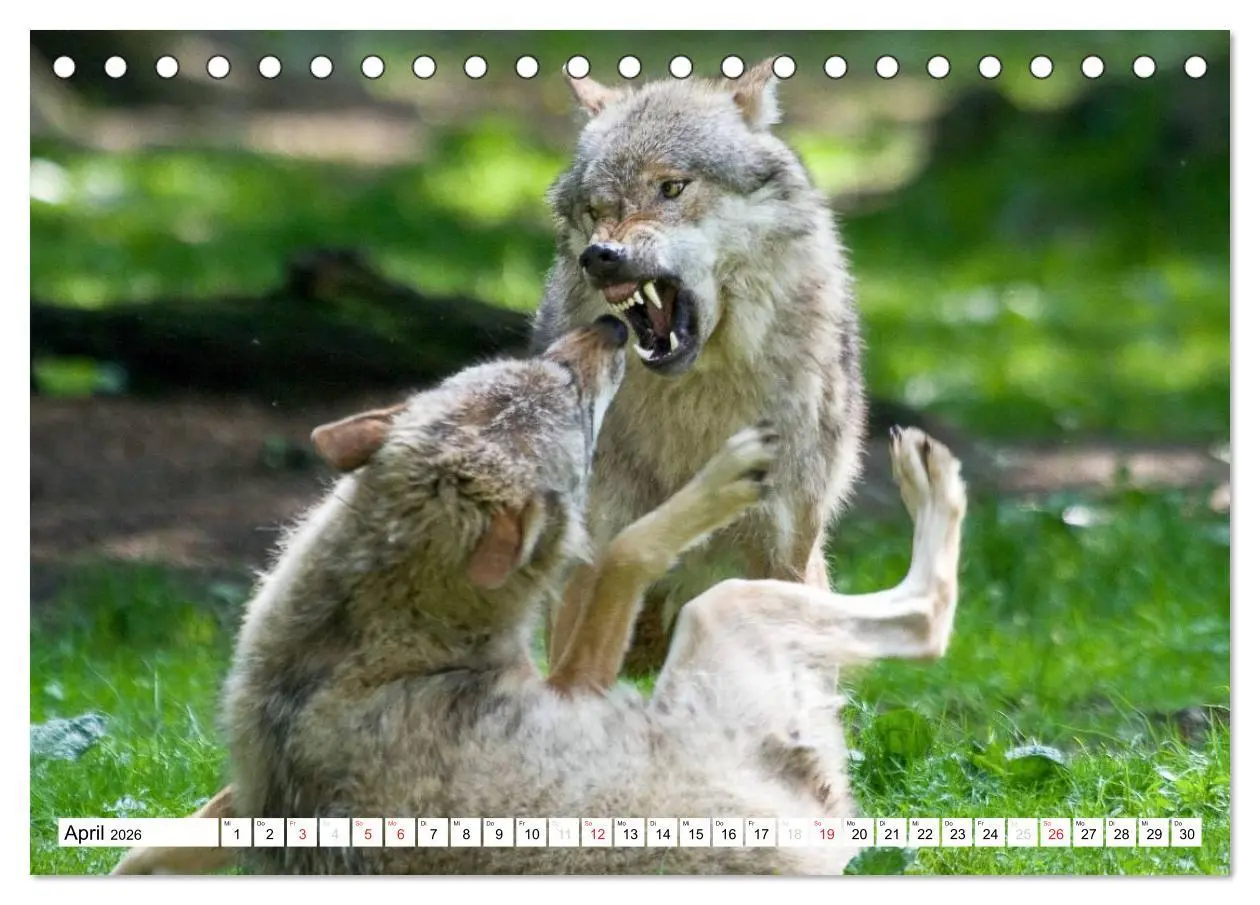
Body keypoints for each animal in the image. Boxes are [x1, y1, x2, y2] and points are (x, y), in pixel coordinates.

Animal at [112, 317, 966, 875]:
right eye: (575, 402)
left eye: (548, 366)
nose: (610, 326)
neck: (377, 614)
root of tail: (813, 841)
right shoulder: (576, 679)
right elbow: (626, 548)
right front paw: (717, 481)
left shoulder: (252, 789)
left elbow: (168, 838)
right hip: (726, 613)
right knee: (926, 619)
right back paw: (931, 478)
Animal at [534, 58, 867, 673]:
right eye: (596, 209)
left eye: (671, 187)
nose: (601, 256)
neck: (697, 410)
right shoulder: (595, 546)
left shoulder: (783, 547)